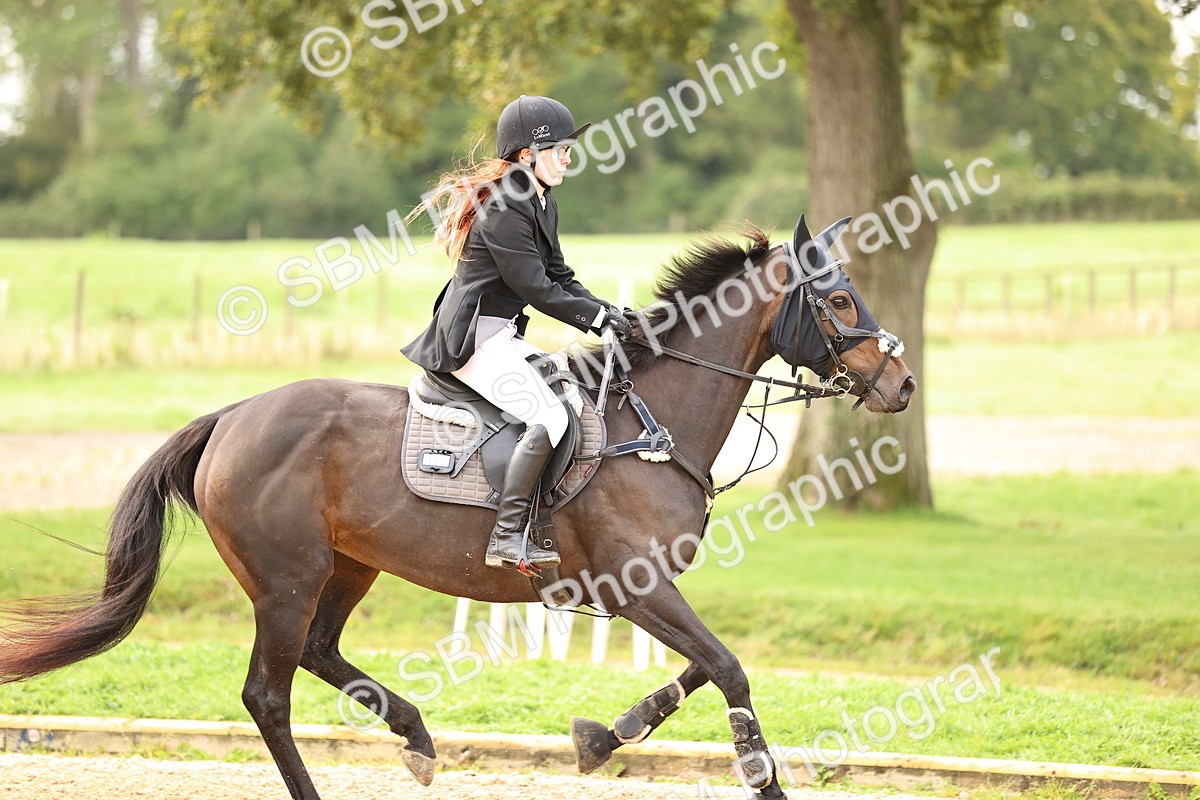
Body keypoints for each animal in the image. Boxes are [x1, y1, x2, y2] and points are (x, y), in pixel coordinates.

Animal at [0, 215, 915, 800]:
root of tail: (230, 417)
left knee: (320, 655)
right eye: (839, 302)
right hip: (287, 581)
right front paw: (759, 776)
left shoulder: (643, 590)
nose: (903, 384)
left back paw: (416, 738)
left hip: (347, 568)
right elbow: (727, 669)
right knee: (269, 695)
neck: (650, 420)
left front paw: (598, 740)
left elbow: (701, 669)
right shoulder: (641, 587)